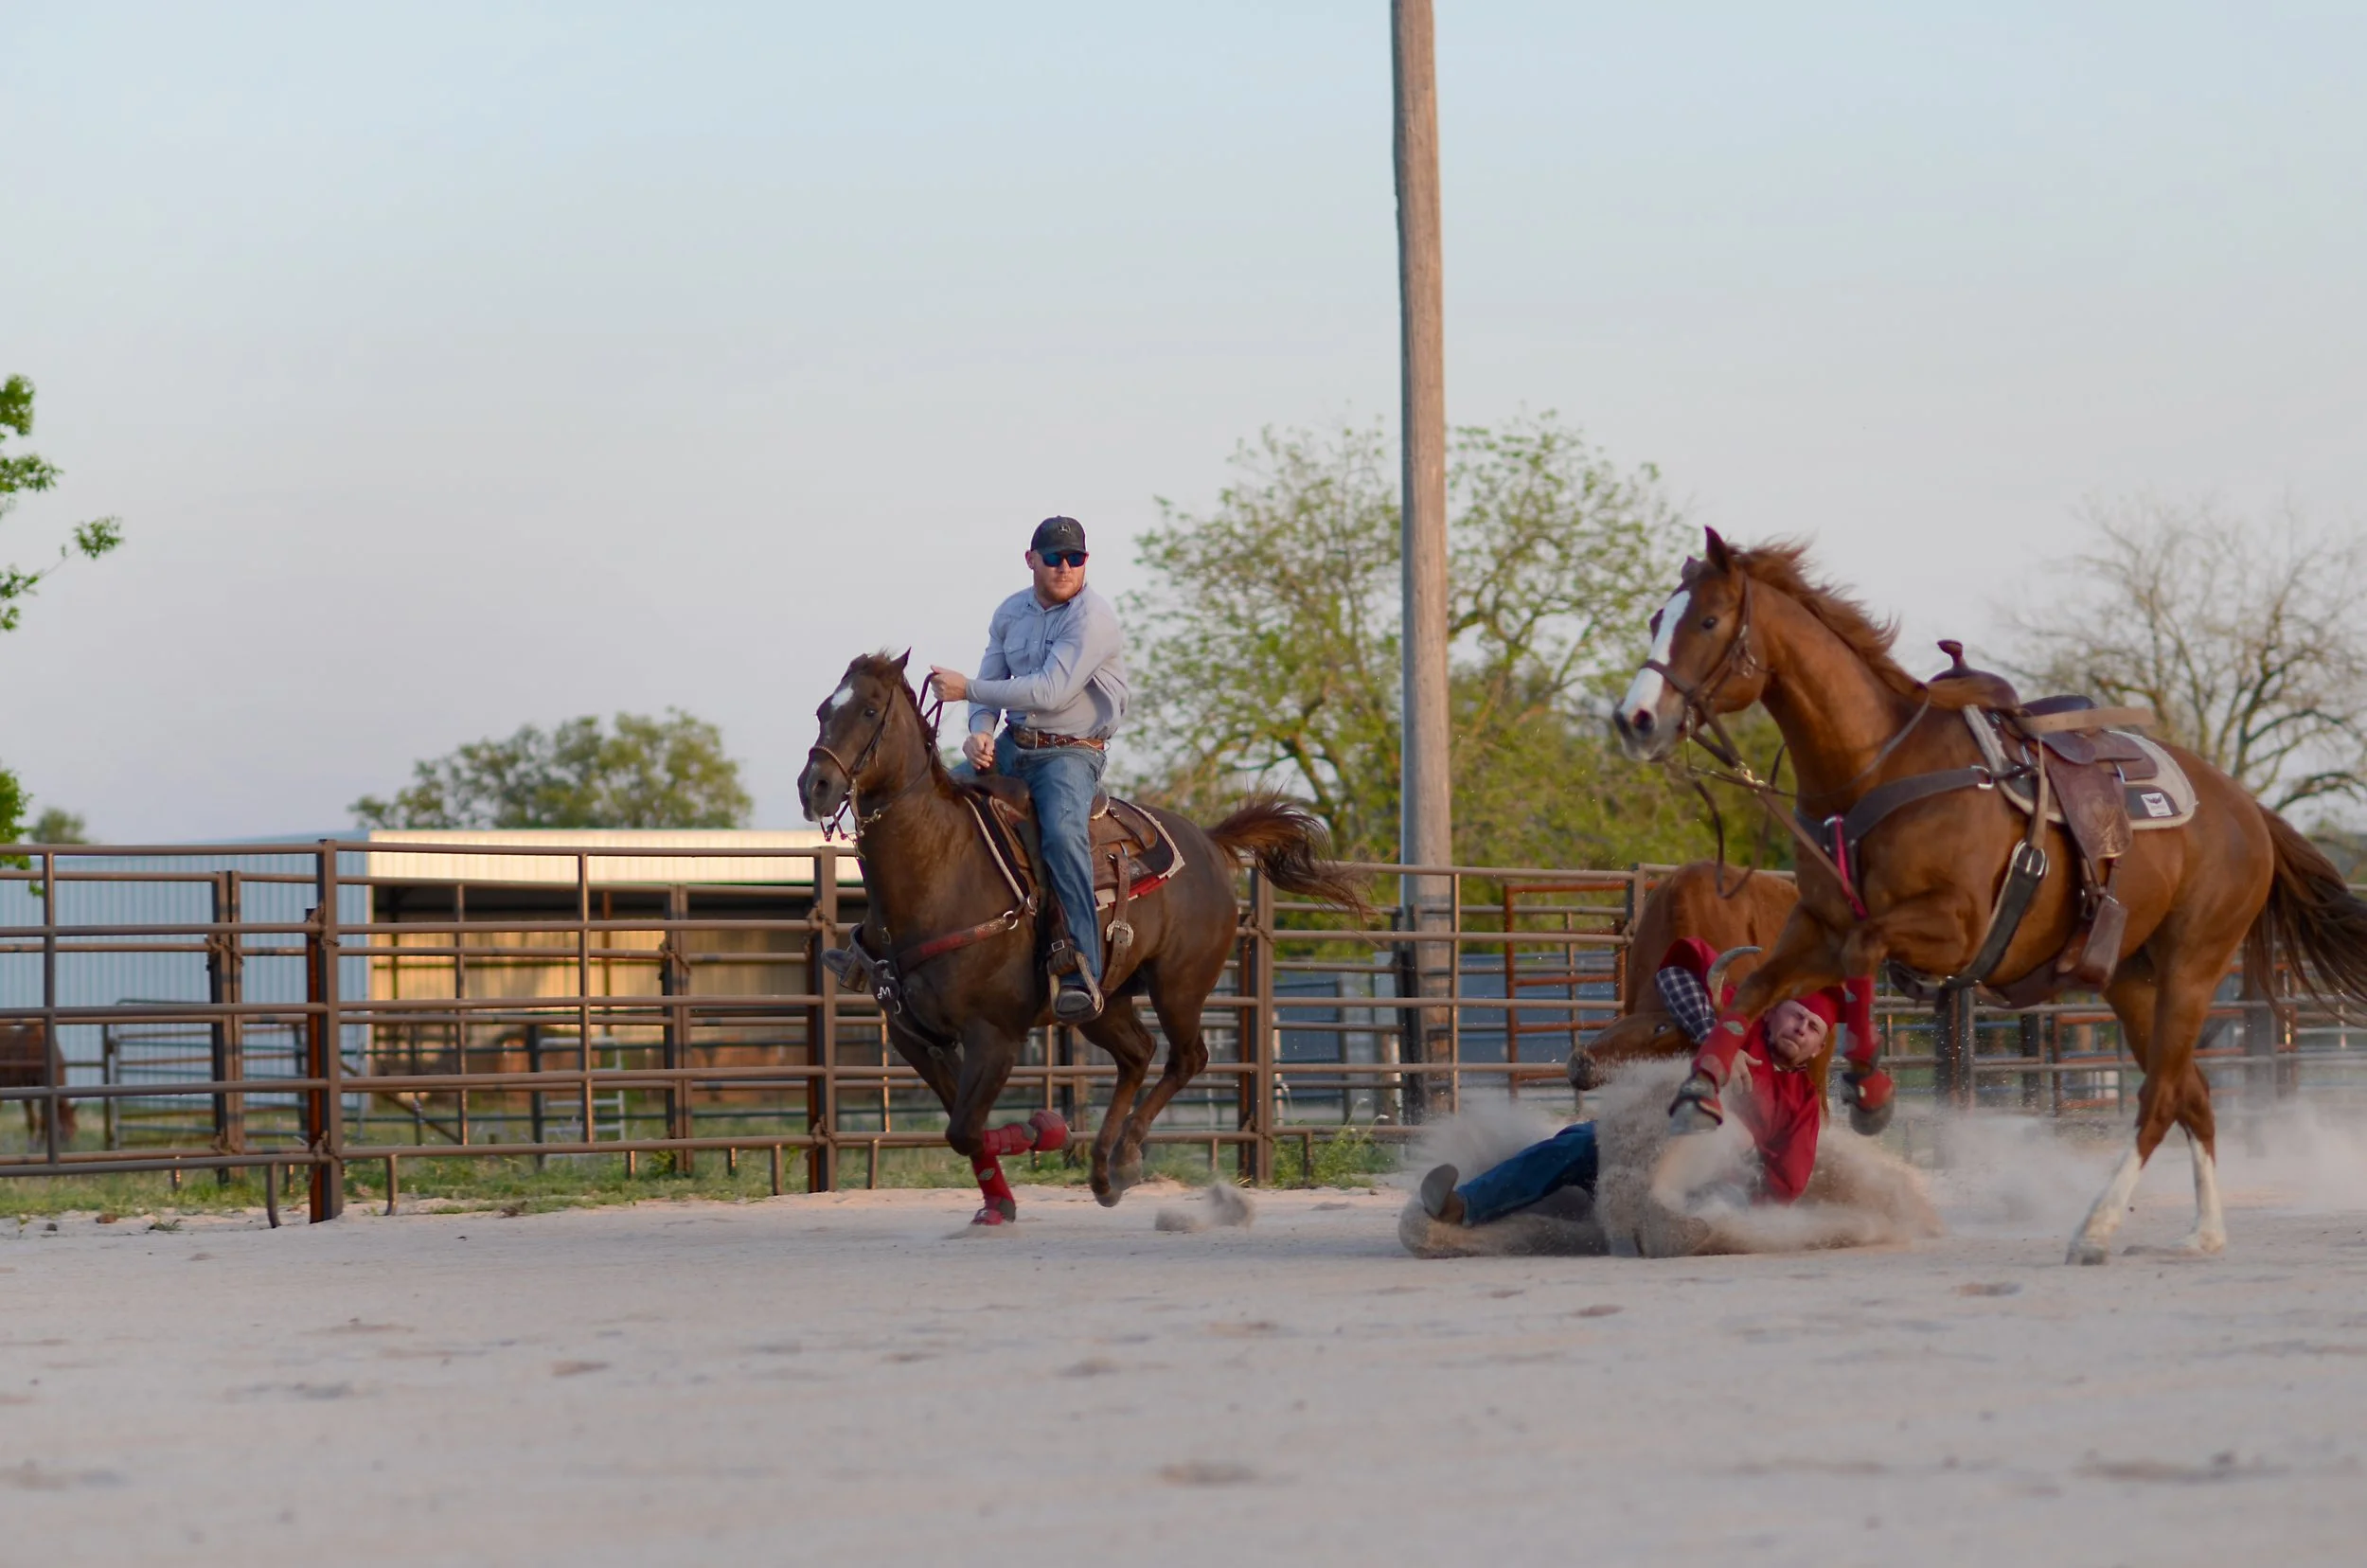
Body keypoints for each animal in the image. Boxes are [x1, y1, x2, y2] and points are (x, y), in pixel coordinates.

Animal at [0, 1021, 77, 1146]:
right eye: (63, 1121)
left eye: (75, 1126)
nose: (69, 1142)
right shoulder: (25, 1087)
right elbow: (31, 1117)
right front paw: (32, 1141)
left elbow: (44, 1114)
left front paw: (42, 1139)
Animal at [797, 652, 1370, 1223]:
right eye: (823, 710)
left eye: (870, 710)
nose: (815, 786)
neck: (941, 869)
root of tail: (1208, 842)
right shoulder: (915, 1037)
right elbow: (966, 1128)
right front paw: (1002, 1194)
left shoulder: (995, 1035)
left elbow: (965, 1128)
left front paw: (1038, 1136)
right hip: (1104, 1001)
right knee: (1137, 1054)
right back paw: (1102, 1170)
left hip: (1179, 988)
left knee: (1186, 1058)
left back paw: (1126, 1157)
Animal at [1613, 528, 2367, 1263]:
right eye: (1655, 620)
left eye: (1708, 620)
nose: (1635, 718)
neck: (1877, 768)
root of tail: (2250, 812)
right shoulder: (1816, 928)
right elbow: (1754, 987)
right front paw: (1698, 1090)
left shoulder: (1952, 930)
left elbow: (1865, 952)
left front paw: (1872, 1090)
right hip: (2131, 980)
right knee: (2194, 1095)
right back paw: (2203, 1232)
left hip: (2194, 965)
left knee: (2159, 1097)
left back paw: (2096, 1229)